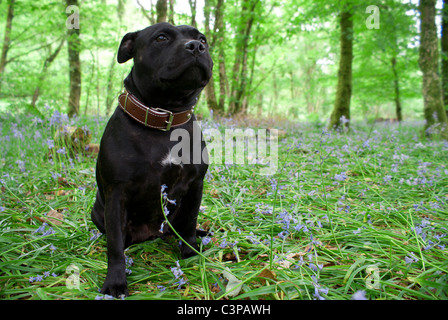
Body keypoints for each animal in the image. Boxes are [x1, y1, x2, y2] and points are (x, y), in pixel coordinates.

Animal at [91, 22, 214, 298]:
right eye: (161, 37)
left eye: (202, 39)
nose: (196, 46)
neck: (165, 117)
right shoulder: (117, 193)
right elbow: (114, 244)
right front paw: (115, 282)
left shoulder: (195, 185)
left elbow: (189, 221)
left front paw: (190, 253)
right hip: (98, 211)